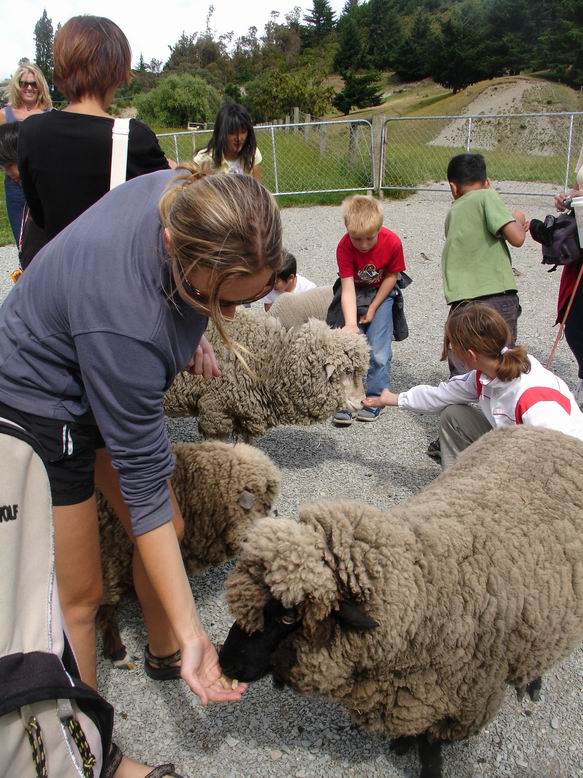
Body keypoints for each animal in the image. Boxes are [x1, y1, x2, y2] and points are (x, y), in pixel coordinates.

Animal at [218, 424, 583, 776]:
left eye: (289, 616)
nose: (225, 663)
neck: (423, 588)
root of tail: (549, 433)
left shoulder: (455, 703)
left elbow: (430, 749)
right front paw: (402, 744)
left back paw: (533, 683)